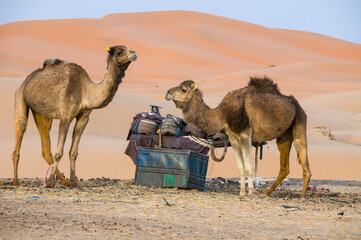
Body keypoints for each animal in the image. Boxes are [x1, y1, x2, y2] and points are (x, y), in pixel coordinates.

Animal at [11, 45, 136, 188]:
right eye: (119, 52)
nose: (133, 52)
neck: (85, 91)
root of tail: (27, 79)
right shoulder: (66, 115)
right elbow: (59, 153)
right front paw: (50, 182)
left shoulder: (84, 117)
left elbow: (73, 152)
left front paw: (74, 181)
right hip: (20, 97)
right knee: (21, 126)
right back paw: (16, 181)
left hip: (42, 114)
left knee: (46, 149)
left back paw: (64, 181)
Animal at [165, 77, 310, 197]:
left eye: (184, 89)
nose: (167, 92)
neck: (222, 114)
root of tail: (293, 102)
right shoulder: (233, 137)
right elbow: (241, 167)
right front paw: (241, 193)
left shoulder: (245, 134)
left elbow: (248, 167)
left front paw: (250, 192)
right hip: (283, 135)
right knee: (285, 166)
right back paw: (268, 193)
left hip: (299, 118)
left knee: (302, 152)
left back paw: (302, 195)